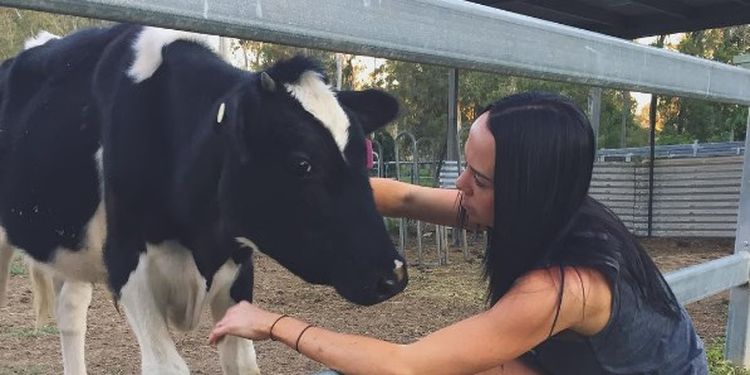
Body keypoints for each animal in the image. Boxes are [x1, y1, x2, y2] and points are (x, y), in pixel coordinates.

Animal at [0, 25, 408, 375]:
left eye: (366, 155)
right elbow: (166, 365)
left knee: (70, 314)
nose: (394, 274)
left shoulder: (239, 267)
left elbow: (241, 360)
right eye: (301, 163)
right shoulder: (128, 264)